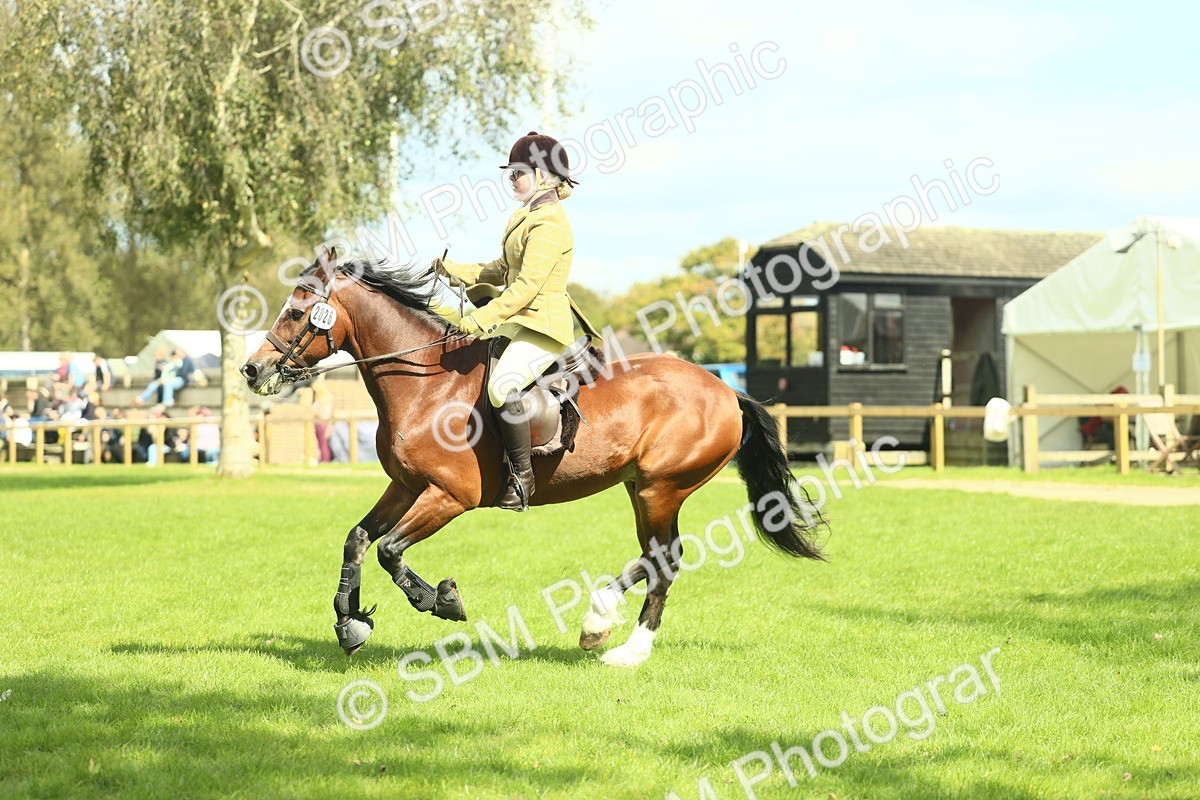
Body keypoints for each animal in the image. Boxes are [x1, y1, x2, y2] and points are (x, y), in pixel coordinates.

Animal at [240, 254, 826, 667]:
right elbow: (359, 540)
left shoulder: (449, 496)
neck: (427, 386)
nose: (251, 369)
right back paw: (607, 631)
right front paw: (349, 622)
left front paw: (440, 600)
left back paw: (617, 641)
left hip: (661, 488)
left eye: (296, 312)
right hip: (642, 488)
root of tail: (725, 390)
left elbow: (389, 551)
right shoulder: (405, 487)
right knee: (659, 557)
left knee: (665, 559)